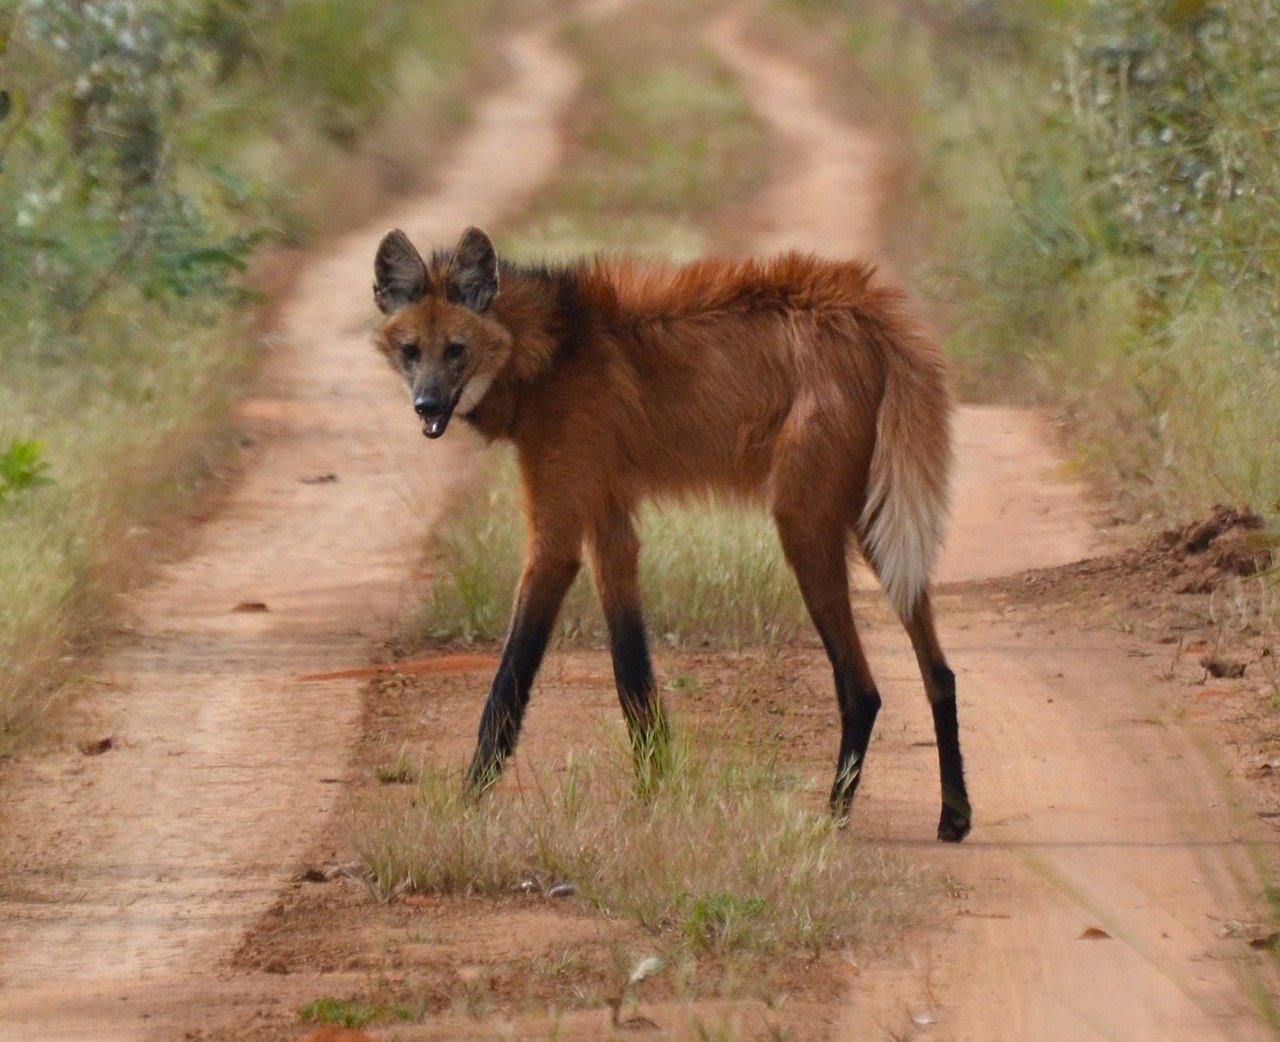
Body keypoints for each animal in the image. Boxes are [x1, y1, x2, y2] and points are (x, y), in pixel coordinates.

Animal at [371, 226, 967, 839]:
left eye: (456, 350)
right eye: (411, 350)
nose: (426, 404)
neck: (551, 348)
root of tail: (867, 307)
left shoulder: (558, 532)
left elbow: (509, 678)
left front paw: (466, 802)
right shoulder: (609, 516)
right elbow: (632, 672)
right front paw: (654, 792)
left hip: (807, 524)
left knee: (862, 688)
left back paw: (832, 819)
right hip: (876, 522)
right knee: (940, 672)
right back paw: (953, 815)